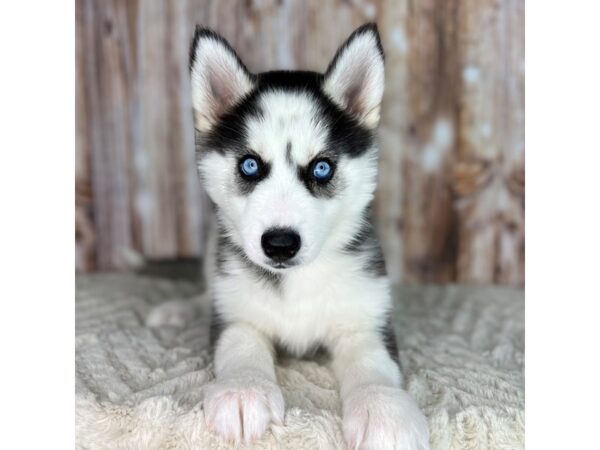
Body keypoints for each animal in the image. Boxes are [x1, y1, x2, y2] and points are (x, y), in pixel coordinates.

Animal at [190, 23, 428, 450]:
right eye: (249, 165)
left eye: (321, 168)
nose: (280, 245)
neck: (297, 281)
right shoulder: (235, 313)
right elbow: (240, 345)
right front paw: (243, 390)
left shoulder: (364, 319)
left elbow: (373, 363)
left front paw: (385, 410)